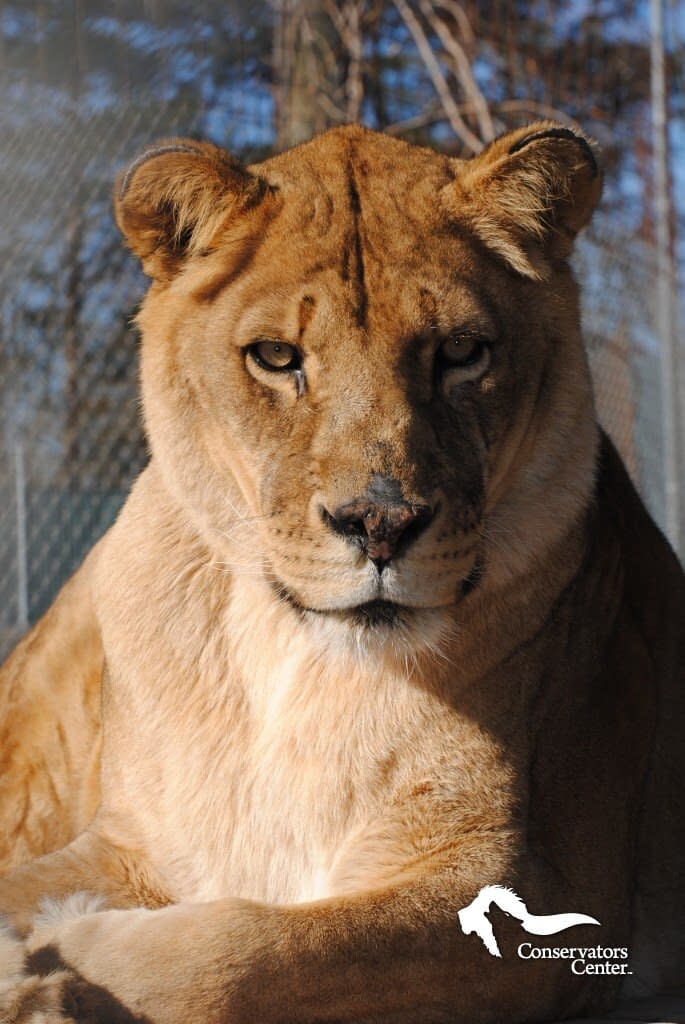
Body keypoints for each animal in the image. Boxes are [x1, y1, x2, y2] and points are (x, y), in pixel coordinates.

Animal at [0, 122, 683, 1024]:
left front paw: (63, 951)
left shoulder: (540, 887)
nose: (380, 525)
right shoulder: (129, 844)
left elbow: (248, 952)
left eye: (461, 353)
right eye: (275, 356)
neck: (295, 657)